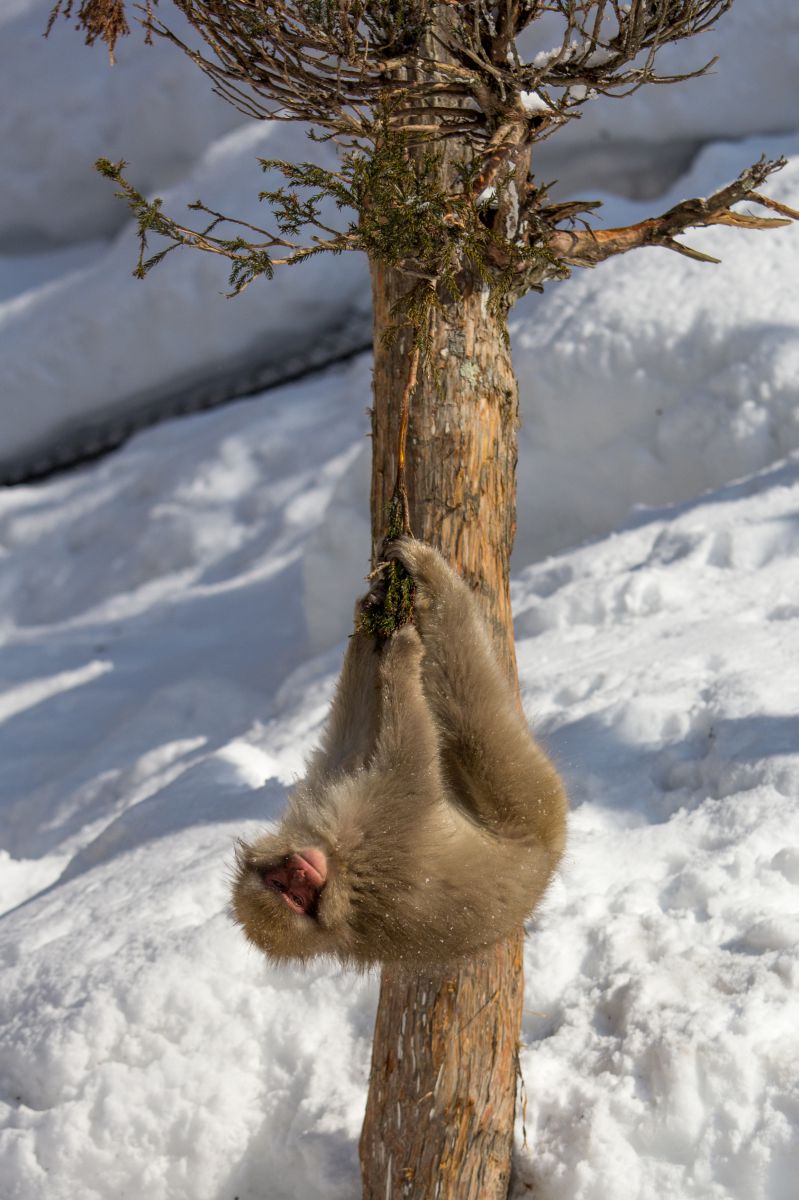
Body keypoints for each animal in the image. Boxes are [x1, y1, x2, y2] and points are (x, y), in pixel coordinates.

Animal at [232, 537, 567, 967]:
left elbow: (350, 739)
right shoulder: (374, 840)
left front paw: (368, 618)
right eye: (292, 894)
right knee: (469, 704)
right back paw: (440, 586)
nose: (302, 871)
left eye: (286, 883)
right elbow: (410, 764)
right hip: (530, 800)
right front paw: (400, 657)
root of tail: (548, 864)